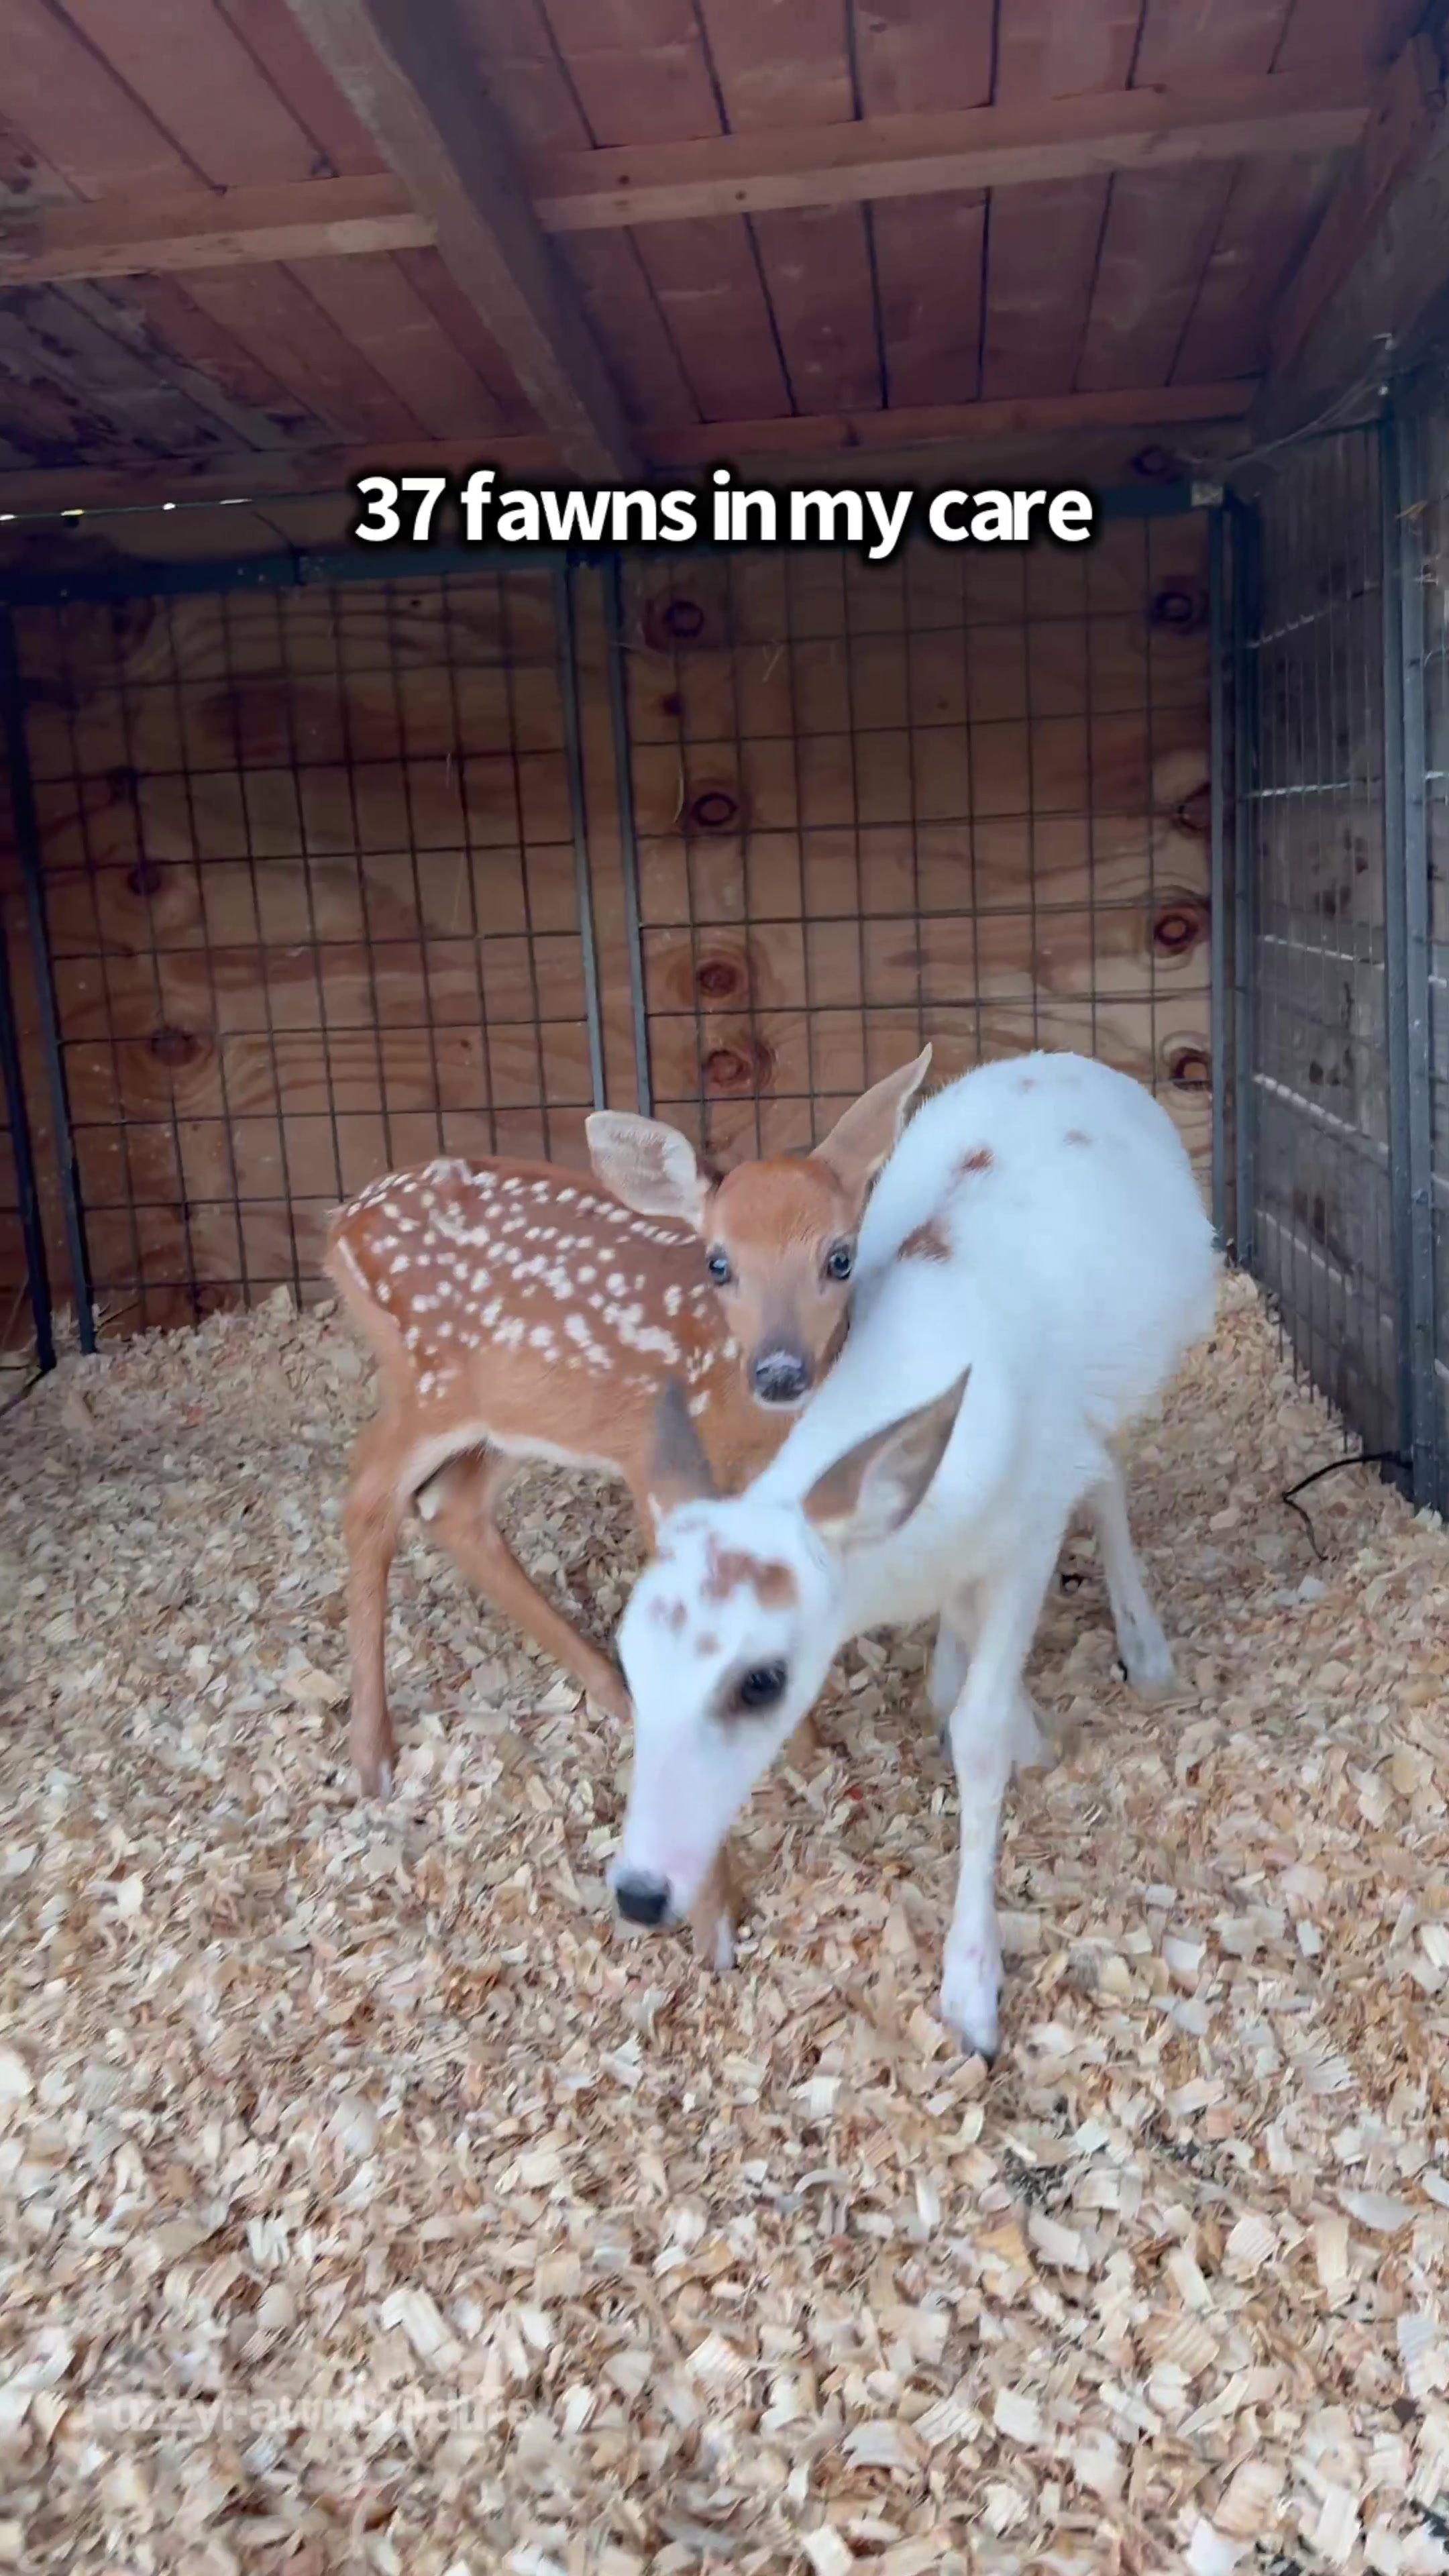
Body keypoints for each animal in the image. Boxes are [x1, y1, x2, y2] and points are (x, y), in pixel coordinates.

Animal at [323, 1048, 932, 1957]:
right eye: (719, 1263)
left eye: (840, 1256)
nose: (780, 1371)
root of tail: (340, 1222)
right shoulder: (657, 1475)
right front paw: (715, 1919)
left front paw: (803, 1745)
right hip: (427, 1383)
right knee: (369, 1497)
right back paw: (373, 1756)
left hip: (524, 1414)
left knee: (452, 1510)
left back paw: (611, 1689)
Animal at [606, 1050, 1219, 2061]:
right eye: (628, 1662)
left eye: (762, 1681)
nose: (640, 1891)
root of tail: (1058, 1059)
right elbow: (954, 1685)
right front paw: (1007, 1714)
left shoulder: (1025, 1536)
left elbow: (977, 1733)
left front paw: (973, 1998)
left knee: (1107, 1479)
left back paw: (1148, 1649)